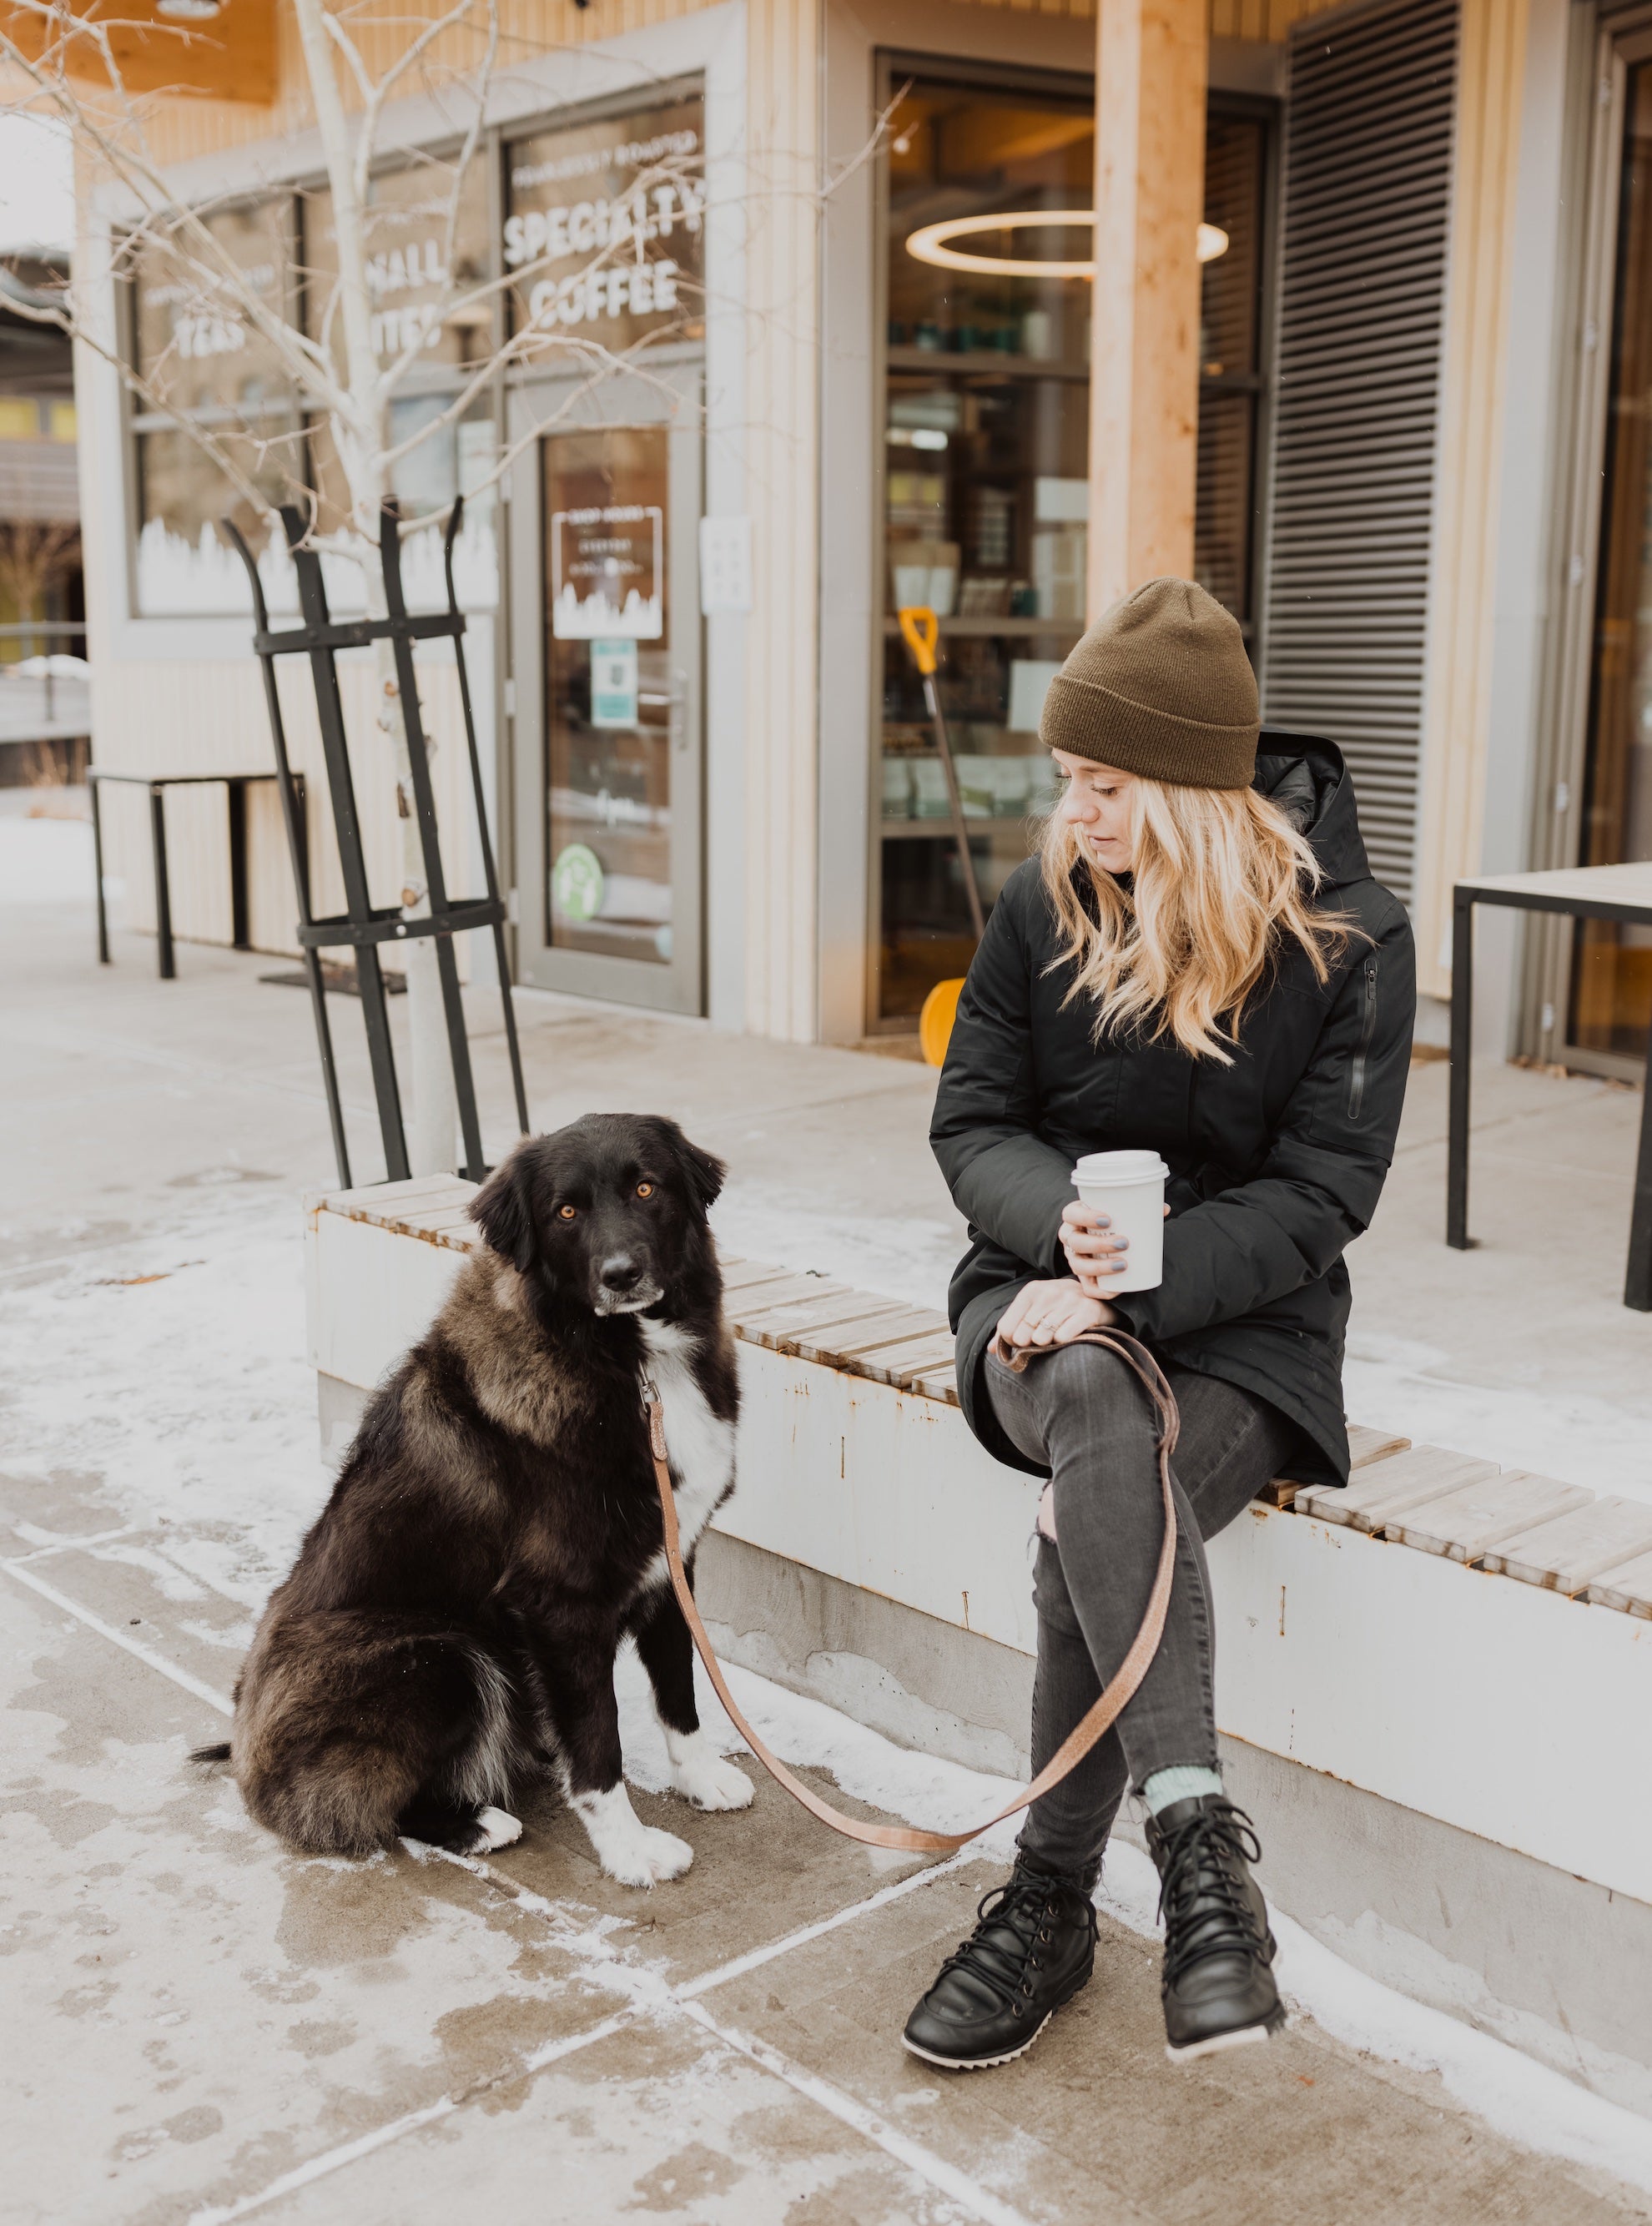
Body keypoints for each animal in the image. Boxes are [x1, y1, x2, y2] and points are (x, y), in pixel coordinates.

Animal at [204, 1113, 761, 1878]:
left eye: (647, 1188)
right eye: (565, 1212)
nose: (622, 1275)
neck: (632, 1362)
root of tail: (246, 1755)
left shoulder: (673, 1562)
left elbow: (681, 1692)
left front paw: (700, 1779)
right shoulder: (558, 1604)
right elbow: (599, 1745)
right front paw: (629, 1852)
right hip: (446, 1656)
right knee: (368, 1805)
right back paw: (477, 1824)